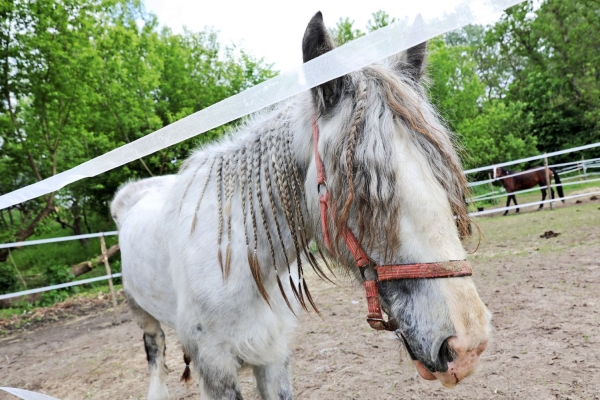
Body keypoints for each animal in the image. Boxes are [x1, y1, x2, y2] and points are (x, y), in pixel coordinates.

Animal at [112, 11, 492, 400]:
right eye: (362, 191)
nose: (468, 344)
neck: (239, 264)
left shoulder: (273, 356)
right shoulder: (217, 369)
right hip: (142, 315)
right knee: (155, 351)